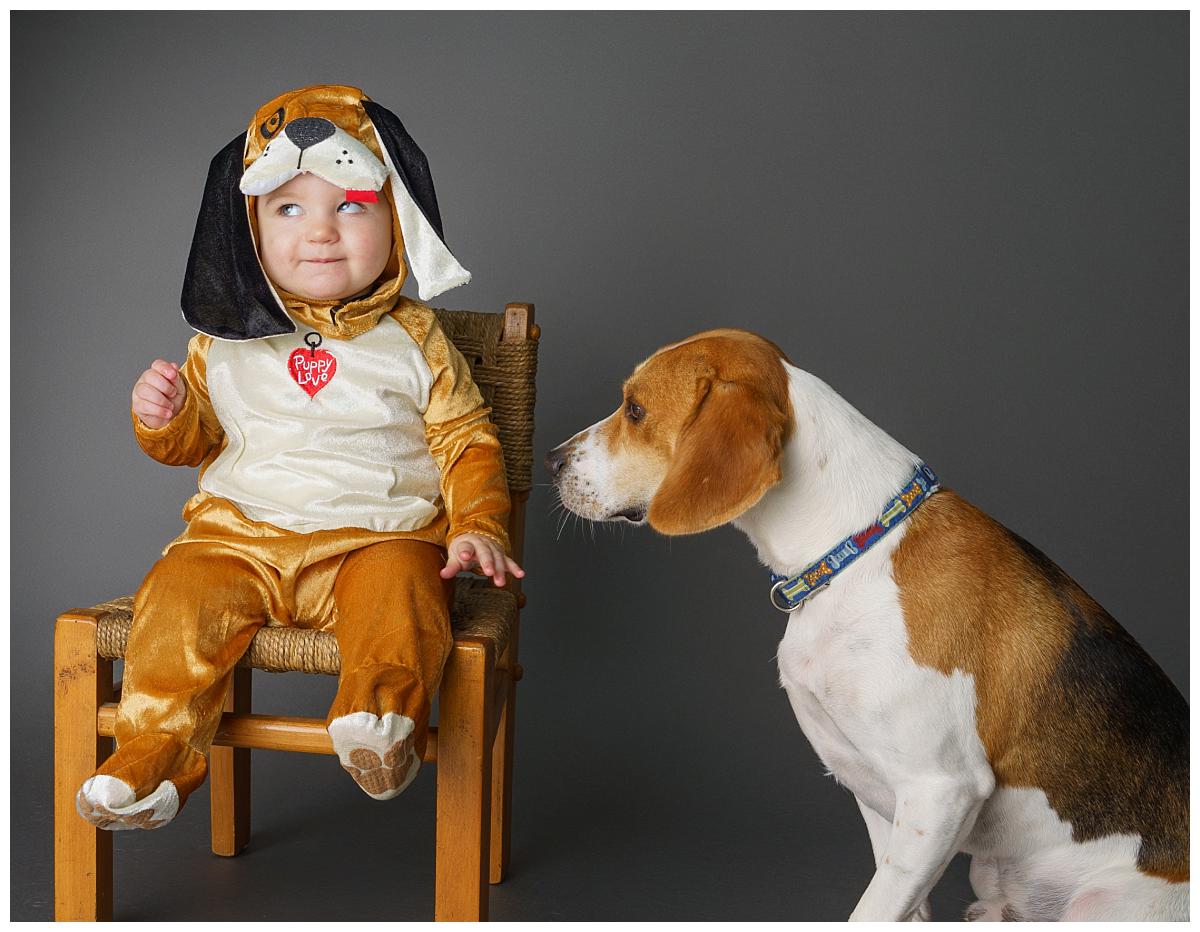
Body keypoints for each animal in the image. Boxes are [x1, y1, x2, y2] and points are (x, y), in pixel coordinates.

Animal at [549, 328, 1185, 921]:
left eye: (635, 409)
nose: (552, 462)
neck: (855, 549)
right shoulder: (879, 793)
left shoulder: (939, 791)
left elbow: (874, 908)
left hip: (1096, 903)